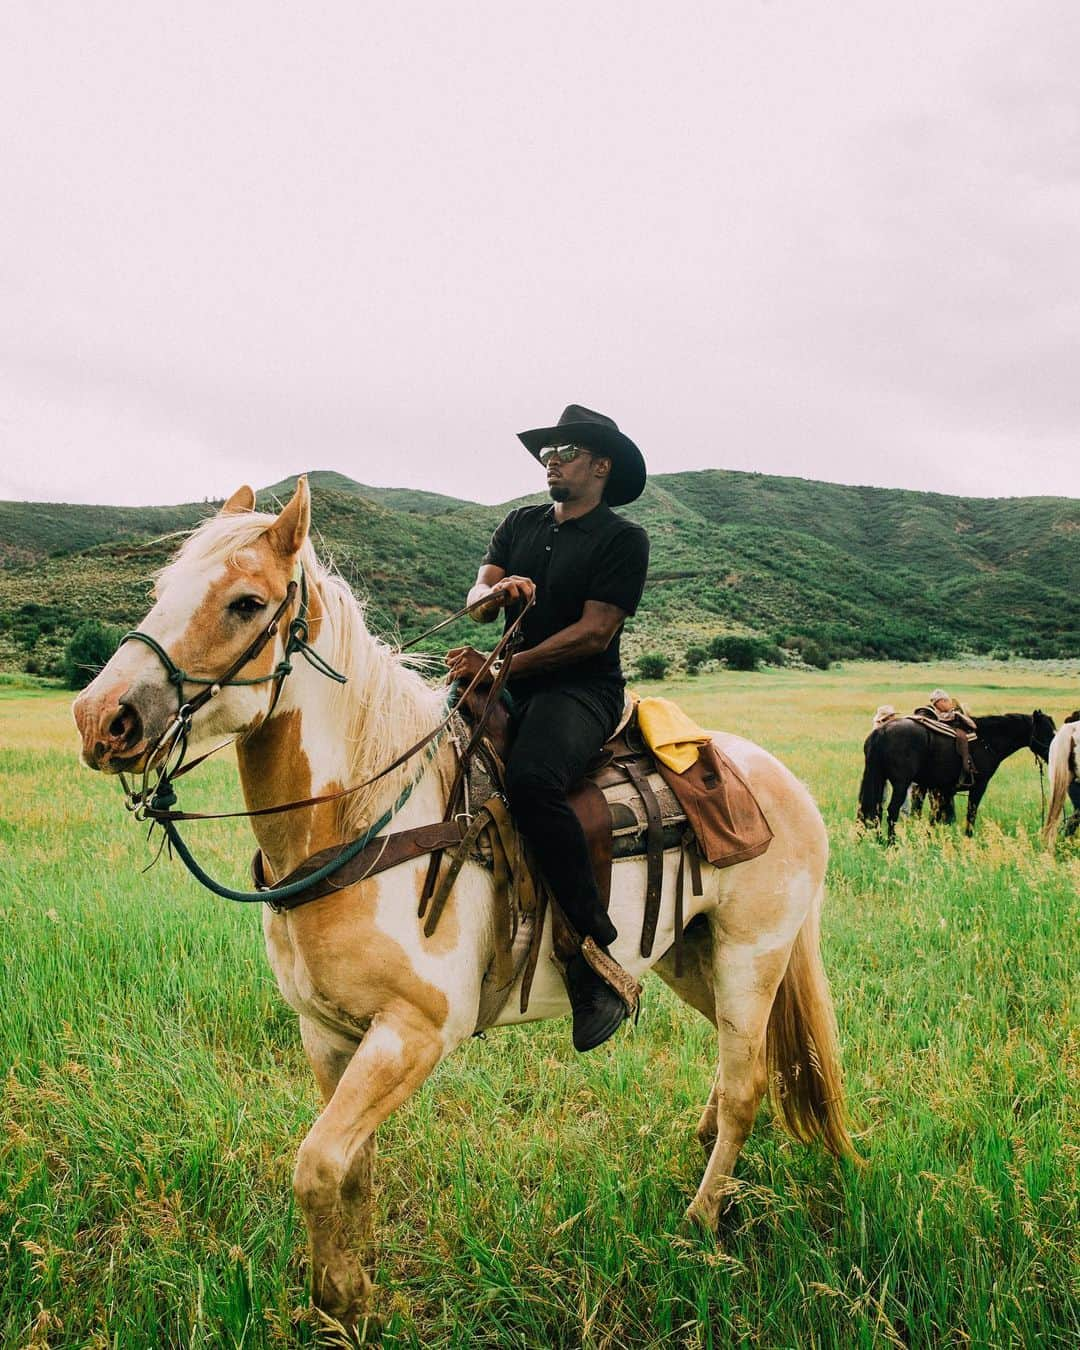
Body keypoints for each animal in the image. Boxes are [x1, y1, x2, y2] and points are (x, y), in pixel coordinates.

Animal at [71, 475, 858, 1328]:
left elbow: (316, 1165)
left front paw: (340, 1295)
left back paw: (699, 1219)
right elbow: (352, 1167)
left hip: (754, 952)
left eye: (246, 603)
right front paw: (355, 1285)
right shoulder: (328, 1035)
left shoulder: (414, 1034)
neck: (365, 821)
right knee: (737, 1061)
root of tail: (783, 782)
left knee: (748, 1084)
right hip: (692, 954)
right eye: (161, 590)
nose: (100, 718)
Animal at [858, 712, 1058, 837]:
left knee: (875, 811)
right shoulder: (978, 786)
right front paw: (968, 838)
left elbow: (938, 817)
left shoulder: (944, 790)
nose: (1054, 755)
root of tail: (882, 731)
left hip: (879, 779)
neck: (986, 740)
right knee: (891, 811)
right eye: (1047, 731)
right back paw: (891, 844)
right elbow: (971, 813)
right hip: (900, 784)